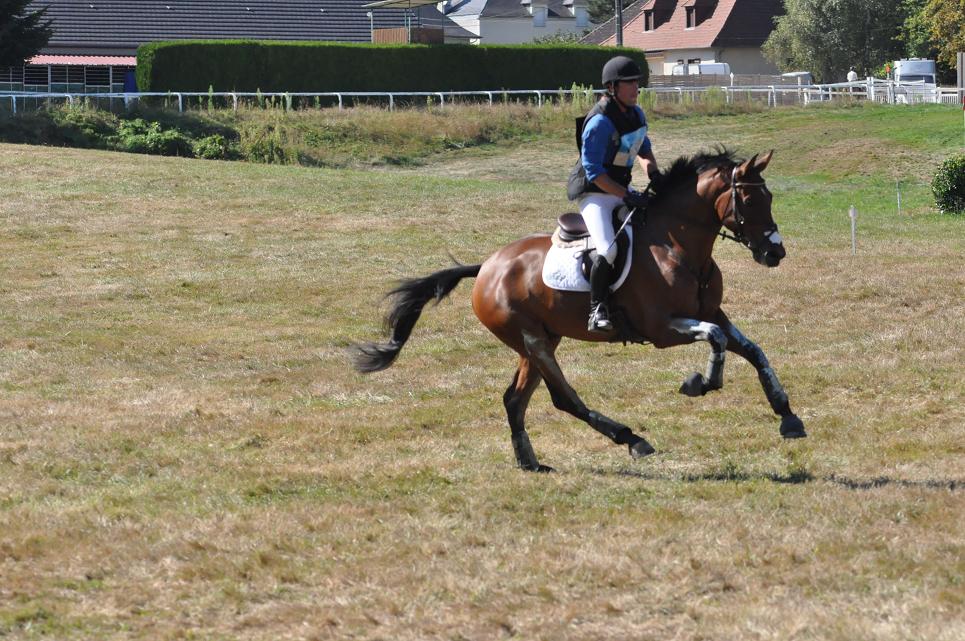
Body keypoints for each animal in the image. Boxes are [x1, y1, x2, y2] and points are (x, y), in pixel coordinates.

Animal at [354, 149, 804, 470]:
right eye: (749, 198)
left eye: (769, 196)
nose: (775, 252)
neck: (680, 247)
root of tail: (486, 267)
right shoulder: (662, 329)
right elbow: (716, 340)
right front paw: (701, 382)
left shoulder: (716, 314)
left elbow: (752, 350)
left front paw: (787, 415)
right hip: (533, 340)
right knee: (563, 399)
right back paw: (632, 440)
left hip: (539, 340)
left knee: (514, 399)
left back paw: (530, 463)